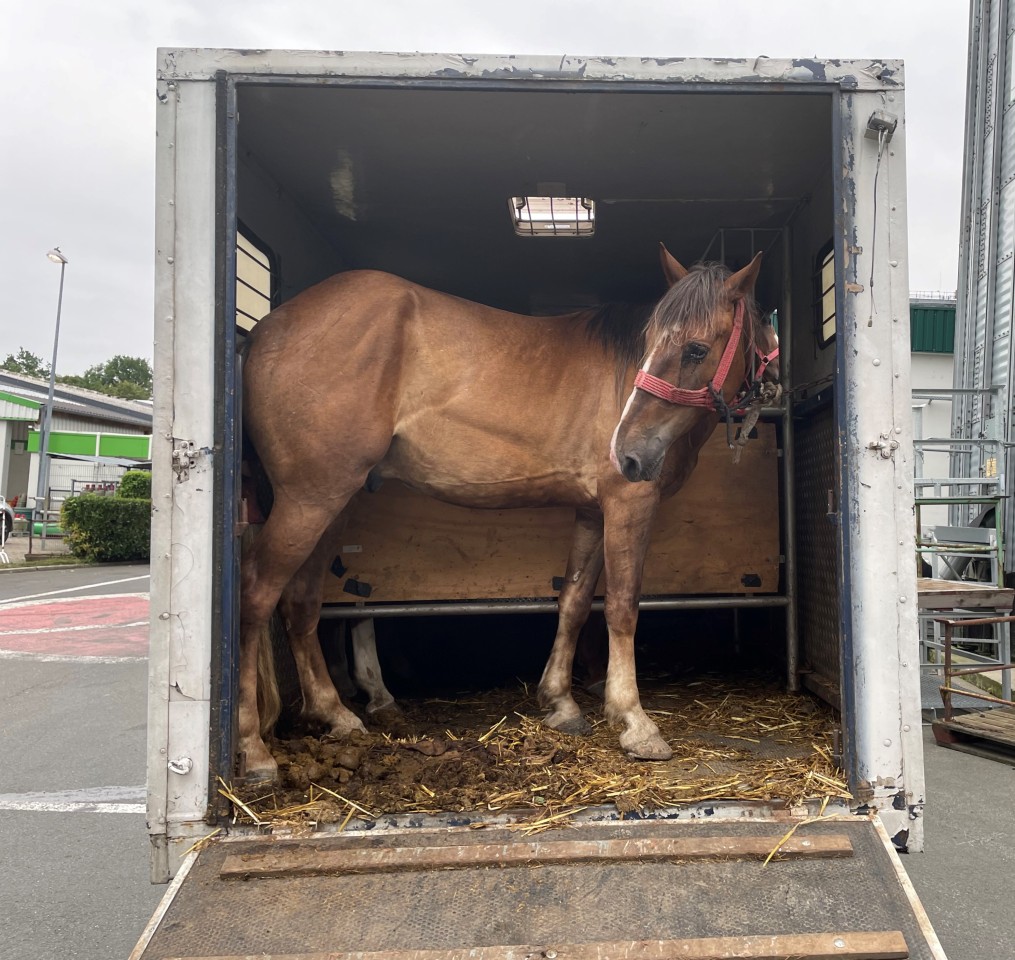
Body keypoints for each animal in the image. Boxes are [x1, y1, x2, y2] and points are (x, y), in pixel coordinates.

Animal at [237, 246, 763, 779]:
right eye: (652, 342)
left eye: (695, 349)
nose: (626, 453)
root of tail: (267, 329)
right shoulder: (627, 504)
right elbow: (621, 606)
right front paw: (634, 720)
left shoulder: (592, 511)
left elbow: (574, 602)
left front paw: (560, 702)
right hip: (309, 500)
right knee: (257, 593)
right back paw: (253, 749)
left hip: (331, 503)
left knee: (300, 601)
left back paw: (335, 714)